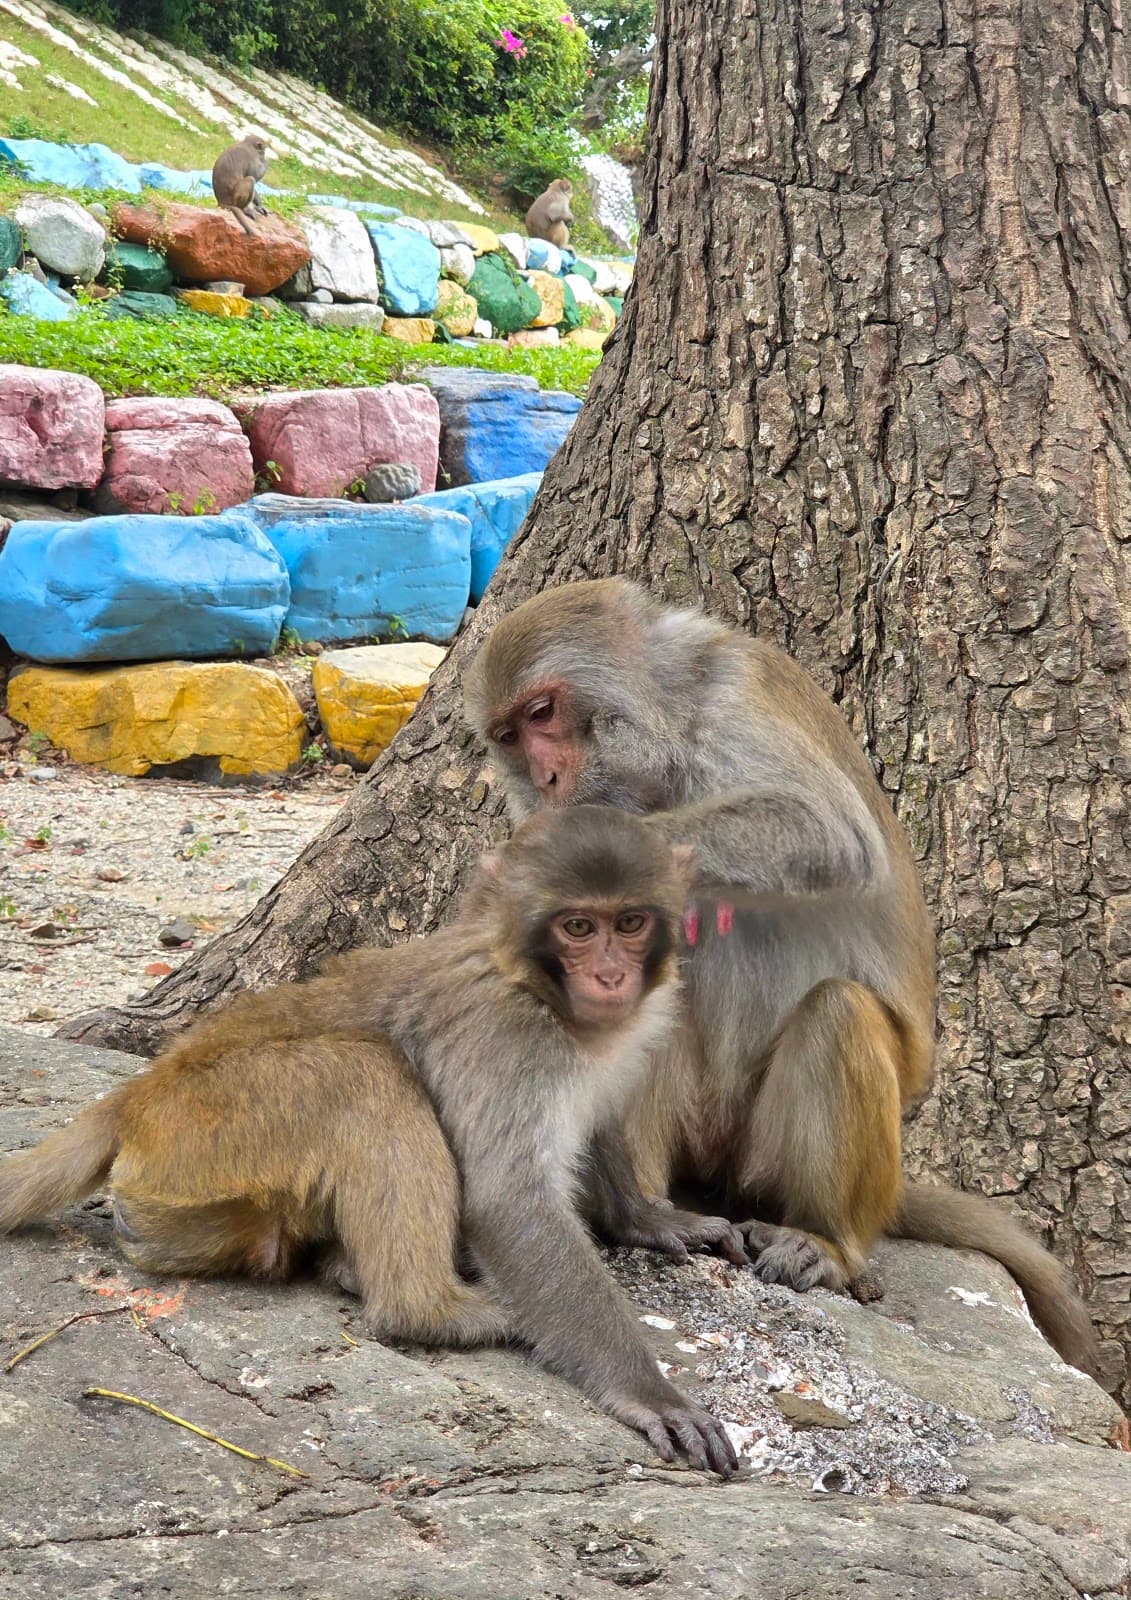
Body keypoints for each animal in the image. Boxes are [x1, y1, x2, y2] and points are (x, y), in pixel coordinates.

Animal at [0, 805, 741, 1476]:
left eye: (630, 922)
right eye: (578, 927)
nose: (610, 977)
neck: (541, 991)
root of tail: (137, 1095)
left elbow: (603, 1124)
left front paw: (651, 1219)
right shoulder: (507, 1036)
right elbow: (509, 1202)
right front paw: (650, 1393)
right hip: (206, 1132)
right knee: (364, 1075)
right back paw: (430, 1311)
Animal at [462, 578, 1101, 1380]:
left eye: (543, 713)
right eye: (510, 736)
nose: (547, 780)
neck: (668, 748)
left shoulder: (740, 698)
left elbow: (823, 831)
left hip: (771, 1160)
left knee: (839, 1013)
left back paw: (825, 1241)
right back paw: (642, 1215)